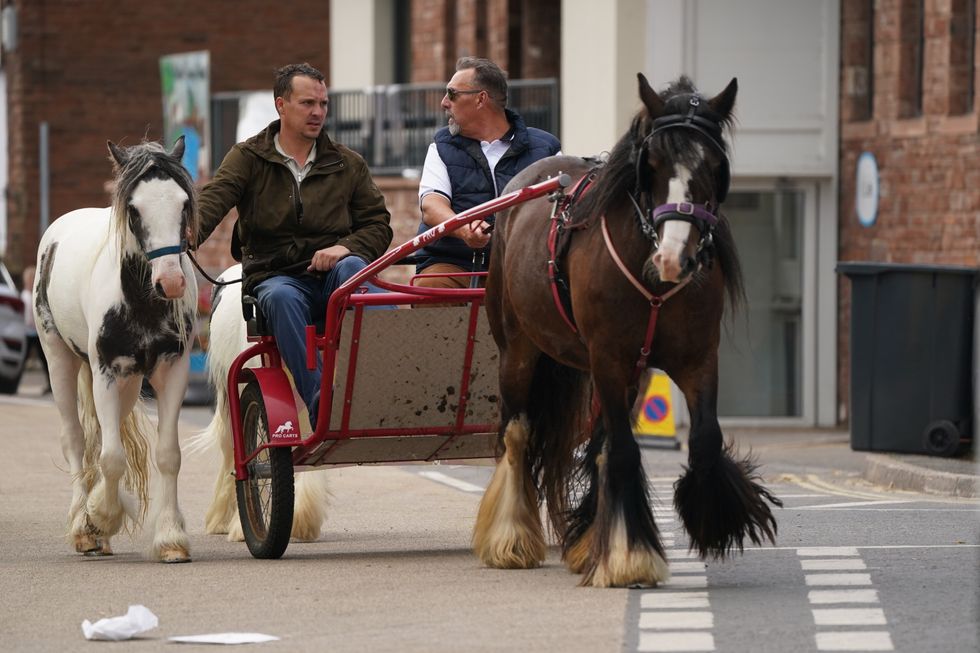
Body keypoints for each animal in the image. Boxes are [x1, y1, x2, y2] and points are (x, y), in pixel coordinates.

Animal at [34, 137, 198, 562]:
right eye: (135, 209)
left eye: (183, 204)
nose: (171, 282)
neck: (140, 301)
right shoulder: (105, 372)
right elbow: (110, 457)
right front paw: (99, 518)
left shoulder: (172, 371)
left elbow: (167, 454)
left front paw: (171, 538)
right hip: (59, 359)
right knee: (76, 440)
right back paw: (83, 525)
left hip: (128, 381)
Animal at [473, 74, 782, 587]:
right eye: (651, 164)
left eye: (714, 165)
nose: (673, 259)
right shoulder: (609, 360)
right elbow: (620, 451)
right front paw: (629, 555)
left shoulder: (697, 359)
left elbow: (702, 440)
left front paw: (711, 521)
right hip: (518, 348)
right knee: (516, 433)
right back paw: (510, 538)